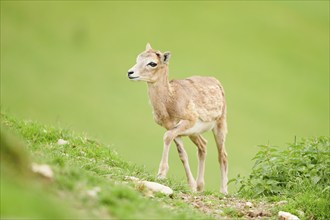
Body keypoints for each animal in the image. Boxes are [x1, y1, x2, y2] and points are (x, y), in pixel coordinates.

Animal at [127, 43, 228, 194]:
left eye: (152, 63)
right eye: (138, 58)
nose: (130, 72)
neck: (170, 101)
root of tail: (217, 82)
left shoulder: (187, 121)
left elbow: (167, 137)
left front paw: (161, 174)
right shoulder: (173, 128)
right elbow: (182, 154)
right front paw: (191, 185)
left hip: (220, 125)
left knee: (222, 155)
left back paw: (223, 191)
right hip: (194, 133)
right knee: (203, 146)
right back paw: (200, 186)